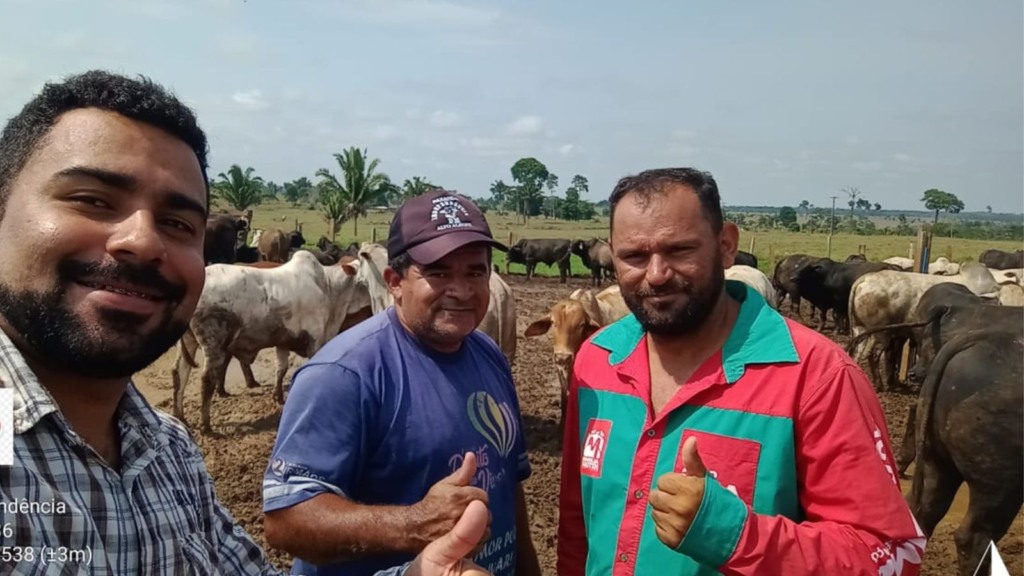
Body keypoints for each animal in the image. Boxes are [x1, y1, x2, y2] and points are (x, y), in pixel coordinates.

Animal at [173, 249, 372, 432]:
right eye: (365, 280)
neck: (328, 287)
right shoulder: (314, 338)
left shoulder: (283, 341)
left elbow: (281, 369)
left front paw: (278, 396)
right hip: (214, 344)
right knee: (207, 380)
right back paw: (205, 425)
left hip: (189, 341)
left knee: (180, 372)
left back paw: (180, 417)